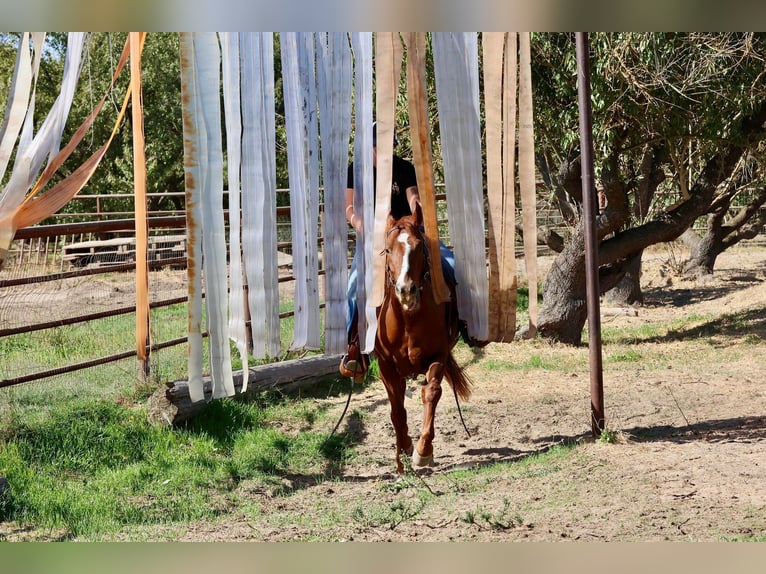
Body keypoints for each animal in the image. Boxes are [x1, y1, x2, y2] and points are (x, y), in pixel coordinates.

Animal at [374, 205, 472, 474]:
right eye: (388, 250)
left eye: (419, 247)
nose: (406, 290)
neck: (408, 319)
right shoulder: (385, 365)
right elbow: (396, 409)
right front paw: (403, 452)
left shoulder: (437, 356)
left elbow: (431, 393)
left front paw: (423, 451)